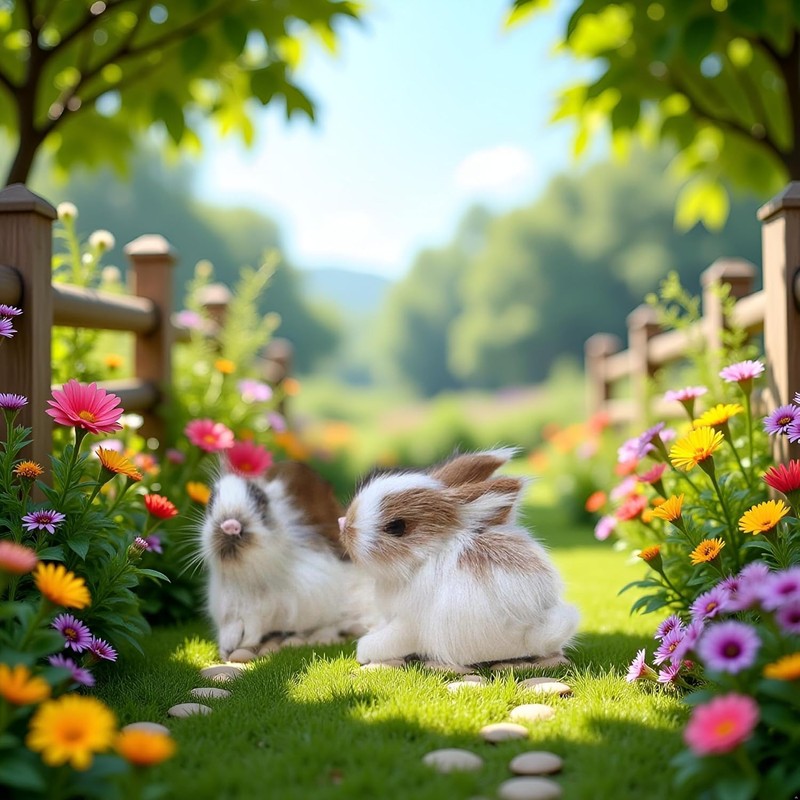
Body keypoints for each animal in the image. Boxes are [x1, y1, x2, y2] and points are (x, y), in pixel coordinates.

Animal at [339, 448, 579, 668]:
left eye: (396, 527)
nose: (344, 524)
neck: (423, 559)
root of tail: (535, 626)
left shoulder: (407, 624)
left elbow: (387, 641)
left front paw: (363, 652)